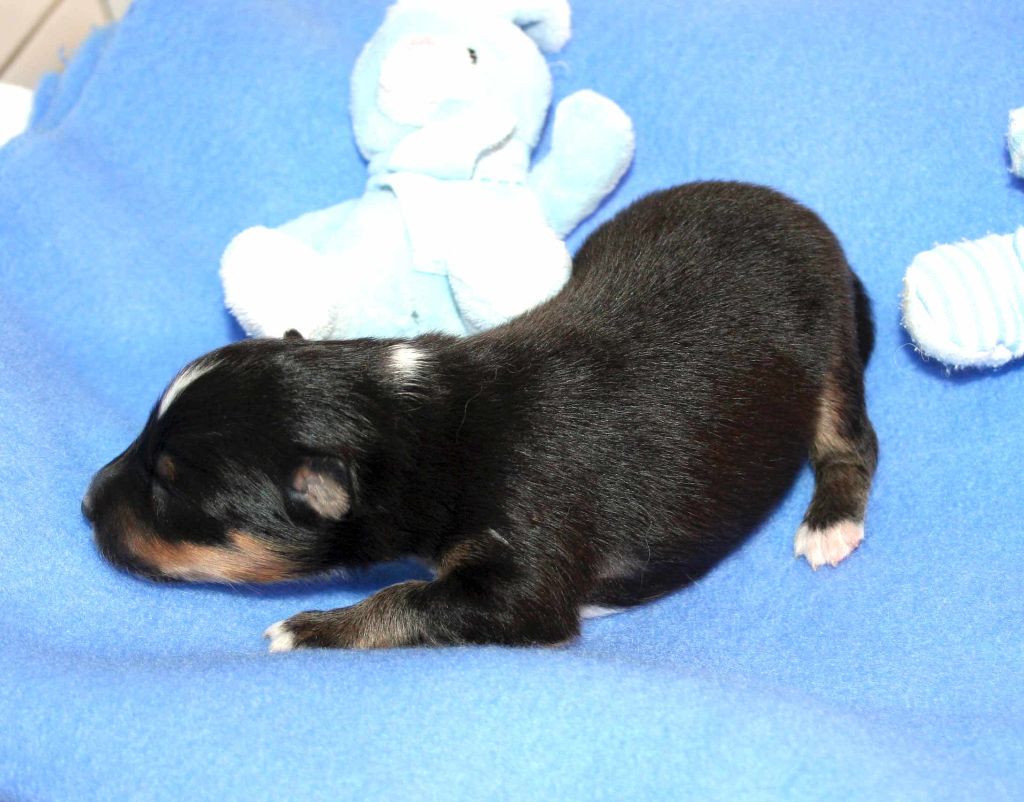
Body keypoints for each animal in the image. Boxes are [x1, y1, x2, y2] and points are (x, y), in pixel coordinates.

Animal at [82, 181, 878, 651]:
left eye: (168, 486)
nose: (86, 502)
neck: (419, 425)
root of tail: (803, 216)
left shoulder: (522, 580)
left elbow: (407, 597)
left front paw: (308, 629)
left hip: (828, 350)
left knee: (852, 442)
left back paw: (830, 522)